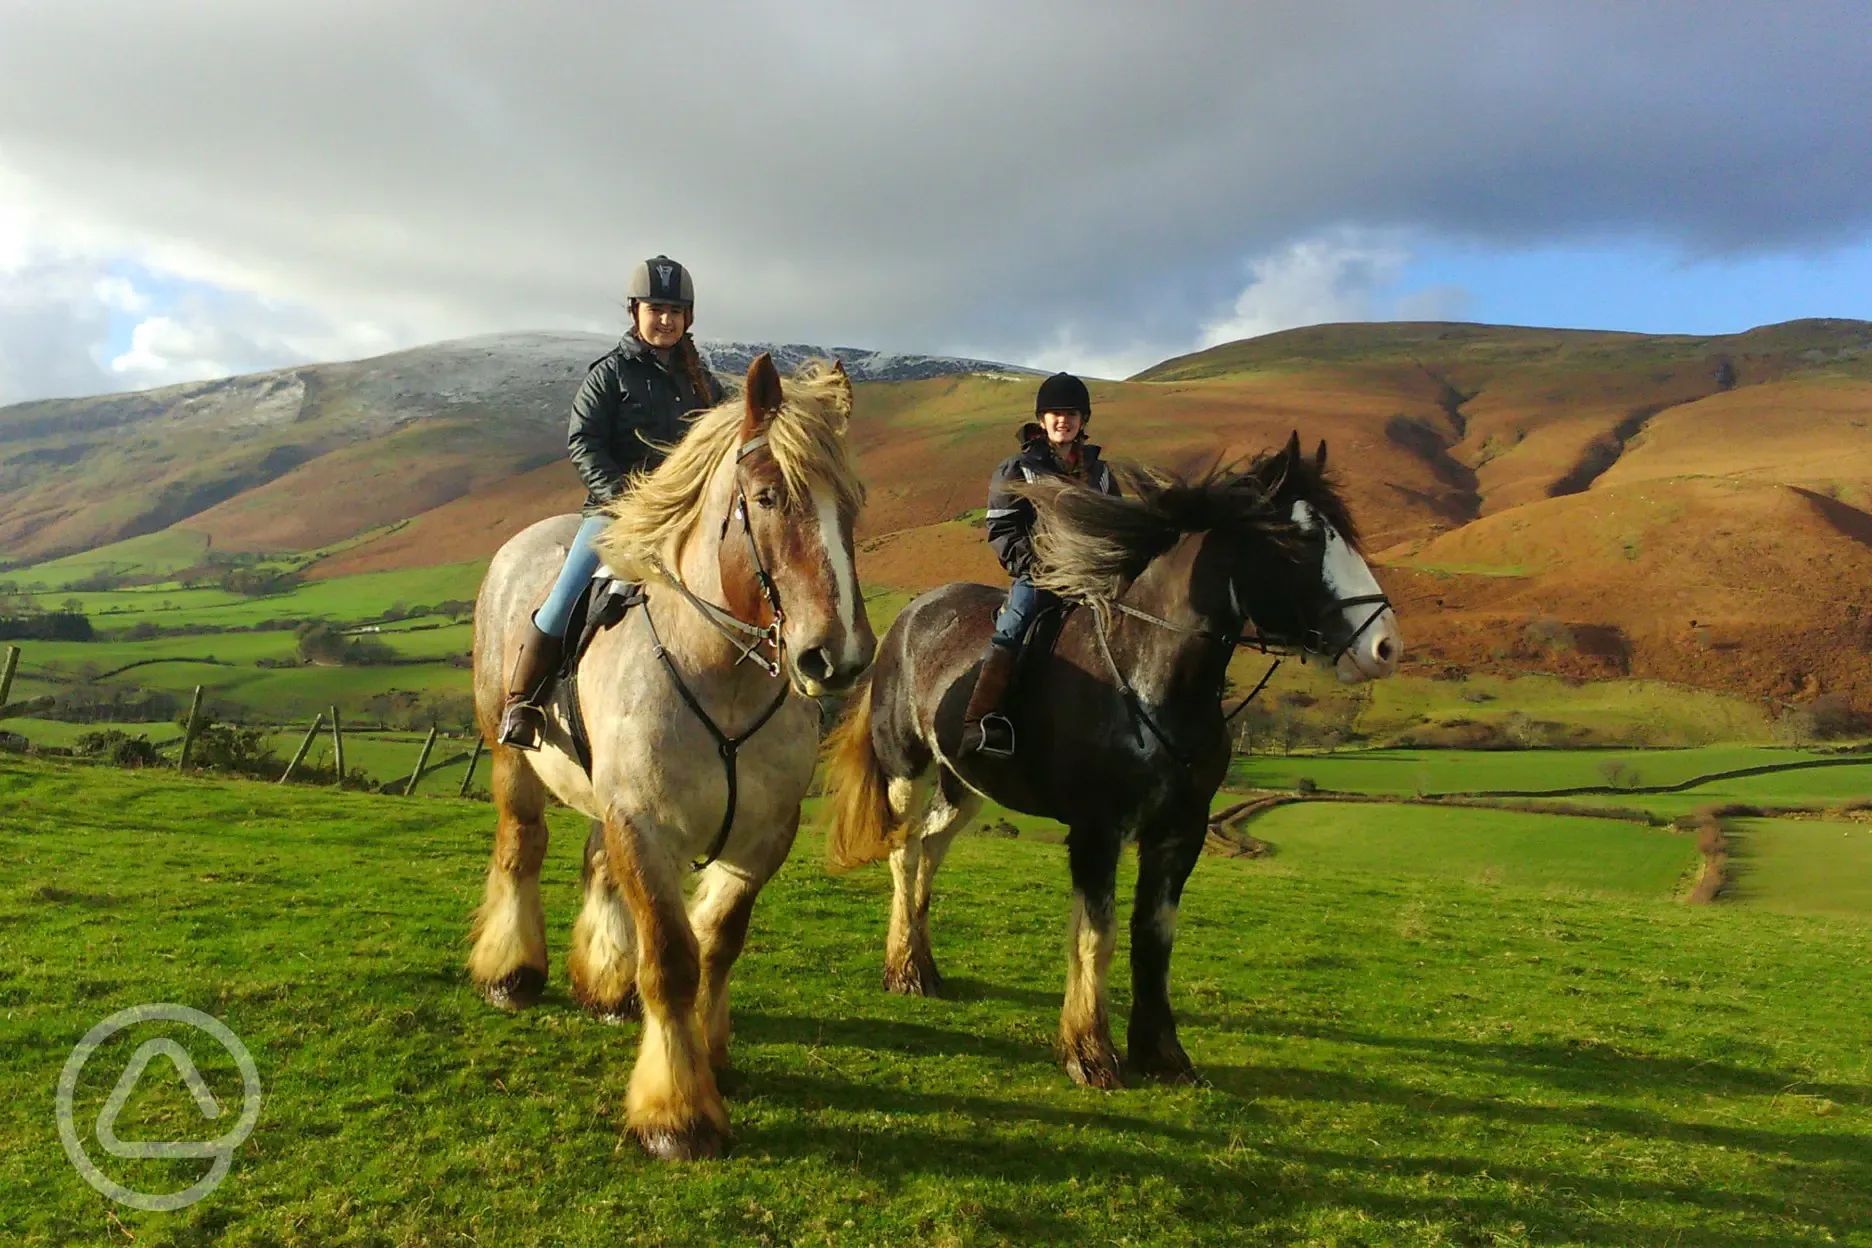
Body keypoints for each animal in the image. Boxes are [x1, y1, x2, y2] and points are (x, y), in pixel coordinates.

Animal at [468, 353, 876, 1160]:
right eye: (767, 497)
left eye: (855, 504)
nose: (837, 659)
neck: (722, 674)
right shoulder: (644, 824)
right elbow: (672, 960)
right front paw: (677, 1112)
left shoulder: (759, 835)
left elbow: (717, 943)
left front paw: (711, 1056)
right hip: (512, 758)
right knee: (521, 849)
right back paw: (512, 974)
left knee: (595, 865)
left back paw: (604, 985)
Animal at [827, 439, 1400, 1092]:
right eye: (1302, 539)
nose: (1385, 646)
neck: (1150, 673)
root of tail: (911, 617)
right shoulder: (1097, 832)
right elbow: (1095, 936)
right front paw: (1089, 1052)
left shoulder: (1181, 831)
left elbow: (1154, 939)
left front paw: (1162, 1054)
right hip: (907, 769)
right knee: (902, 853)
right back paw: (902, 970)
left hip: (965, 783)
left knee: (928, 849)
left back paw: (922, 964)